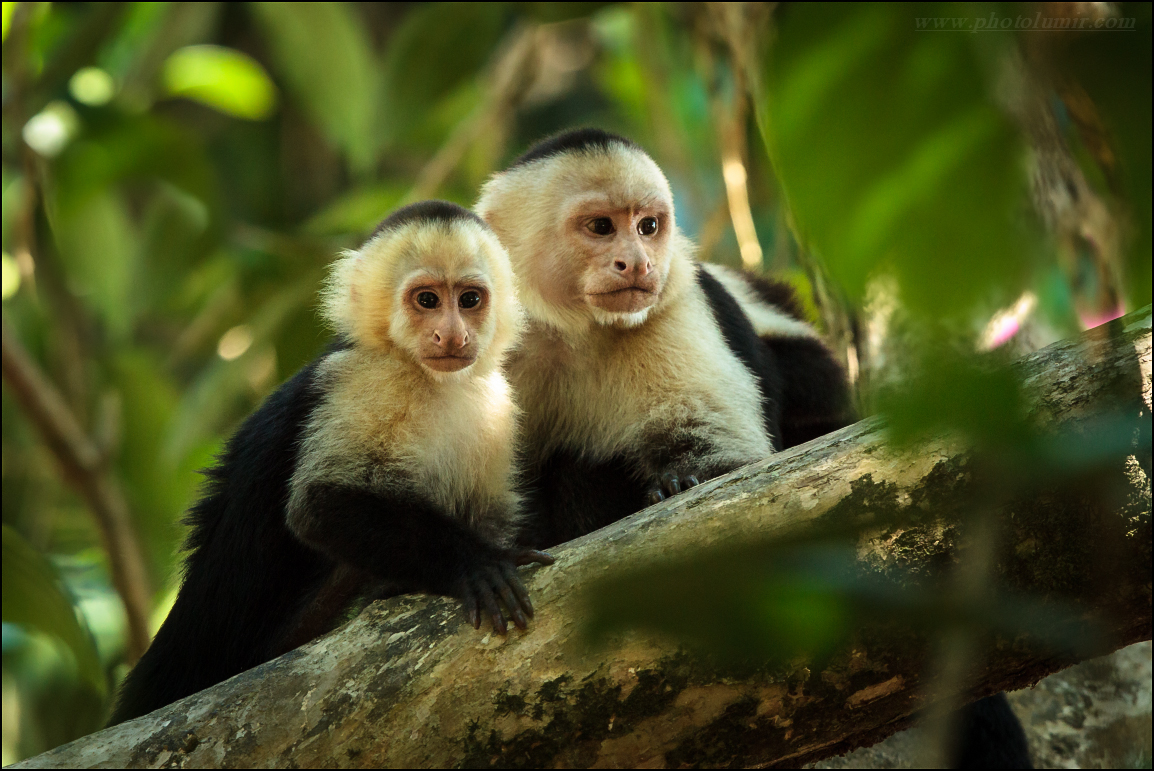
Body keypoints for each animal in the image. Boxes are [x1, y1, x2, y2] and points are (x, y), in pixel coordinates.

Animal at [109, 201, 553, 725]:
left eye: (469, 300)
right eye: (426, 300)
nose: (452, 334)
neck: (424, 378)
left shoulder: (496, 404)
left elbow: (488, 511)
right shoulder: (362, 379)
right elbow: (320, 506)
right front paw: (477, 563)